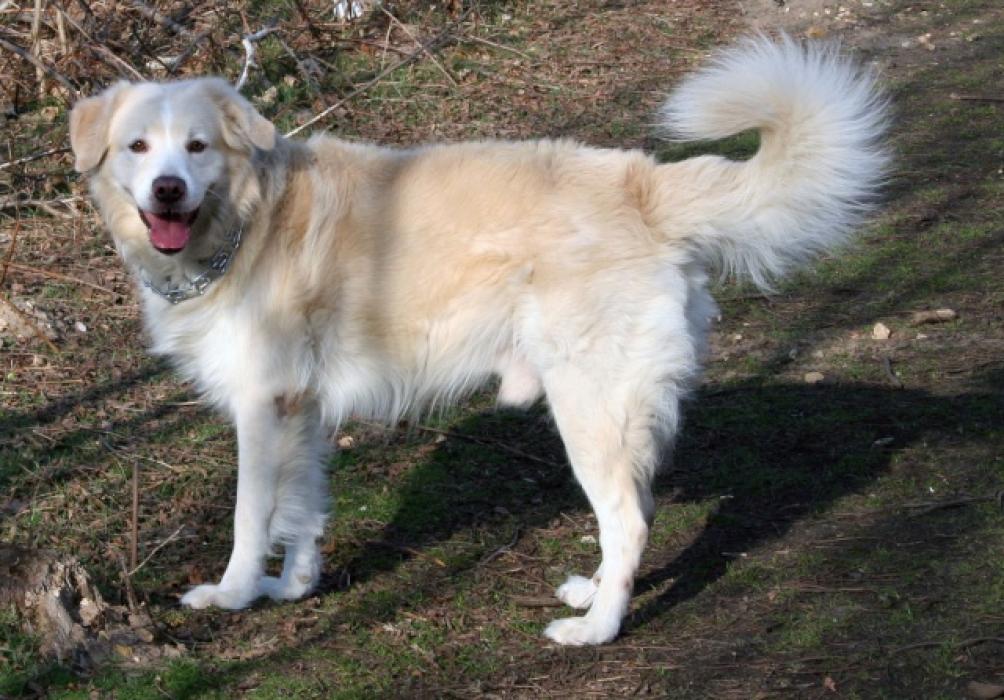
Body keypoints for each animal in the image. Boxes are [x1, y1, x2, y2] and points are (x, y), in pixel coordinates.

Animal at [68, 35, 887, 642]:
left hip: (588, 410)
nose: (167, 190)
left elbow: (250, 515)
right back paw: (594, 593)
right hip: (615, 413)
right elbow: (302, 509)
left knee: (627, 519)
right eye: (138, 147)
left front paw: (234, 594)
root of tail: (643, 185)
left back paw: (596, 629)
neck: (247, 221)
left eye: (197, 147)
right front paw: (293, 586)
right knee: (640, 508)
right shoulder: (300, 408)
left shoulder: (262, 406)